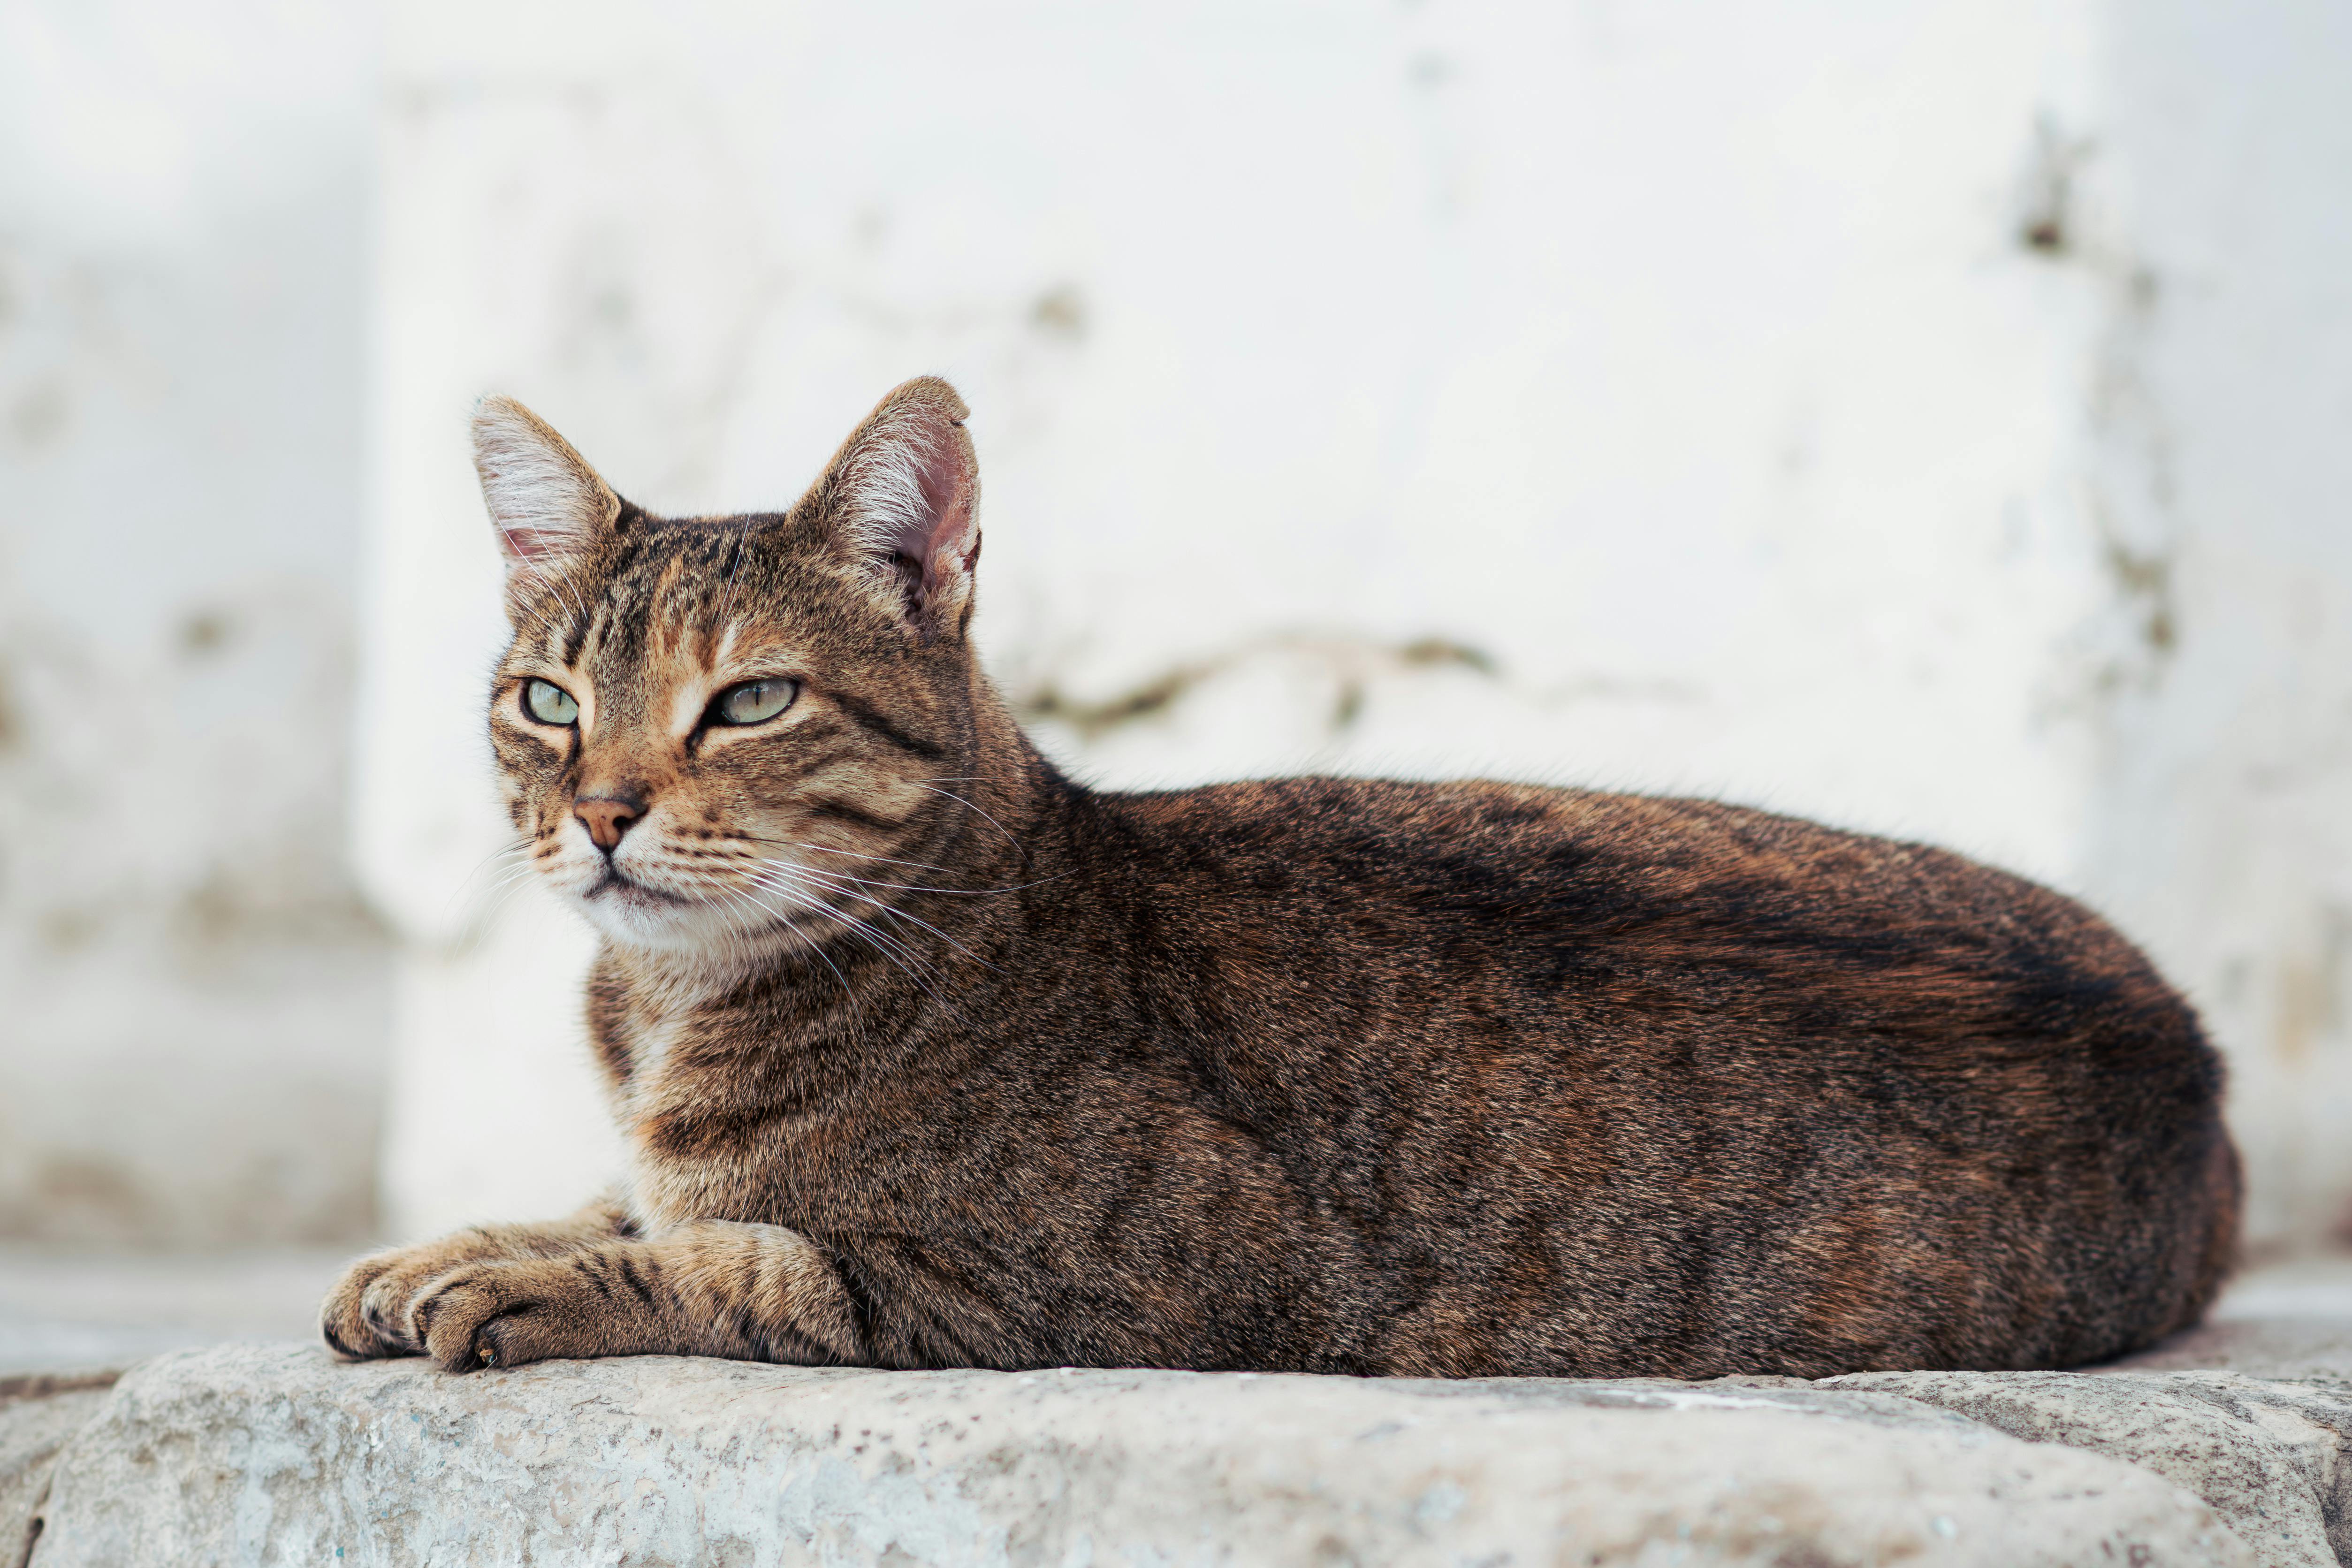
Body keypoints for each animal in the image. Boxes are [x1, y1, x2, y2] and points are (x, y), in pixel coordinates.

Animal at [317, 373, 2239, 1382]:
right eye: (548, 702)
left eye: (753, 700)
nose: (602, 811)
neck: (675, 1009)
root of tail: (2201, 1056)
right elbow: (622, 1199)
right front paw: (442, 1242)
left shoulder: (1112, 1287)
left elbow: (744, 1261)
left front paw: (521, 1281)